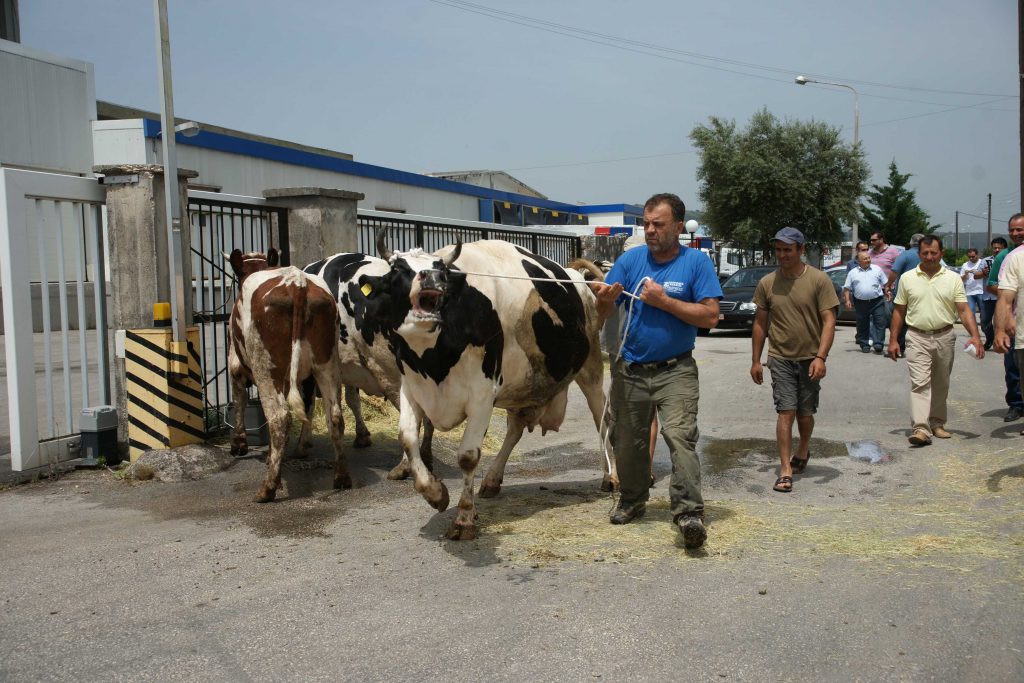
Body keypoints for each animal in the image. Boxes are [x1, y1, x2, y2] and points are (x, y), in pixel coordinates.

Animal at [225, 250, 350, 501]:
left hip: (266, 369)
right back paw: (341, 477)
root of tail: (297, 283)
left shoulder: (235, 365)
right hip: (327, 364)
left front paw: (239, 444)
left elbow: (239, 401)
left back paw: (268, 488)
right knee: (334, 416)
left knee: (279, 417)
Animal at [301, 252, 434, 481]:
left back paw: (404, 467)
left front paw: (303, 443)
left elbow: (308, 403)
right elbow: (352, 399)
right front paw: (362, 435)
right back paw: (425, 457)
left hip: (390, 372)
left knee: (411, 418)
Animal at [360, 235, 614, 540]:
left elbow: (468, 456)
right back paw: (492, 480)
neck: (434, 362)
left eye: (441, 270)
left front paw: (464, 518)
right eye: (398, 270)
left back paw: (610, 477)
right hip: (522, 386)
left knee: (601, 418)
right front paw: (435, 494)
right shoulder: (411, 388)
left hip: (591, 367)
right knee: (515, 429)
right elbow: (407, 438)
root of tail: (577, 278)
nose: (431, 276)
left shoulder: (481, 396)